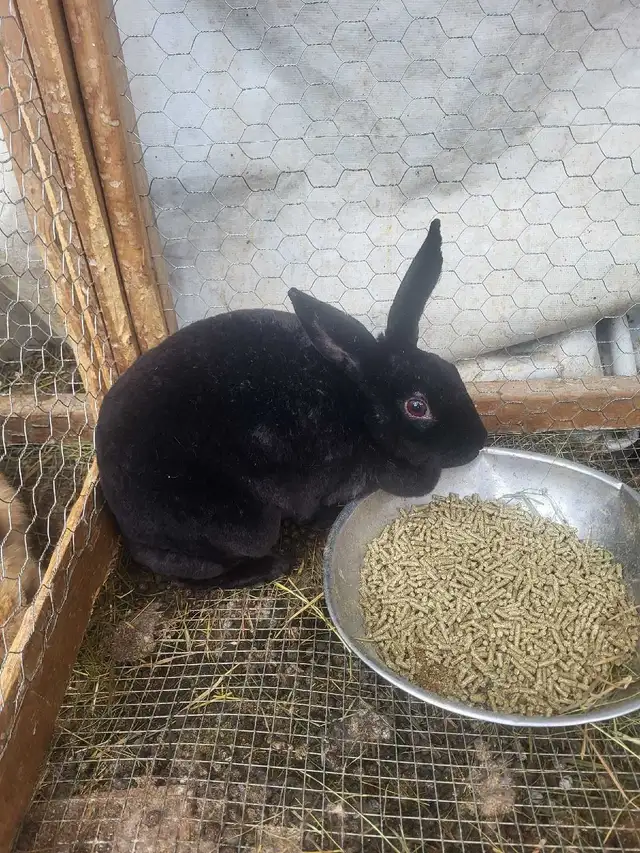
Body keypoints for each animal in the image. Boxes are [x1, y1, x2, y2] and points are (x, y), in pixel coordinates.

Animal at [95, 219, 487, 588]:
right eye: (417, 407)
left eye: (451, 370)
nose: (478, 441)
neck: (361, 409)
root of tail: (124, 521)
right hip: (241, 526)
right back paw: (273, 565)